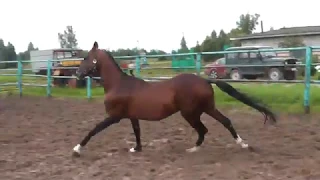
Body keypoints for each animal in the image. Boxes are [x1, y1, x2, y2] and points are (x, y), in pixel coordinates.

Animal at [72, 41, 276, 156]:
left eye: (86, 58)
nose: (77, 74)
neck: (118, 84)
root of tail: (204, 79)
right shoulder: (132, 116)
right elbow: (137, 132)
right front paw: (136, 149)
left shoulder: (114, 116)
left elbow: (94, 130)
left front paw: (77, 149)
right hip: (206, 108)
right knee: (225, 121)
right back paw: (240, 144)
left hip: (190, 113)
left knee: (204, 129)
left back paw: (195, 149)